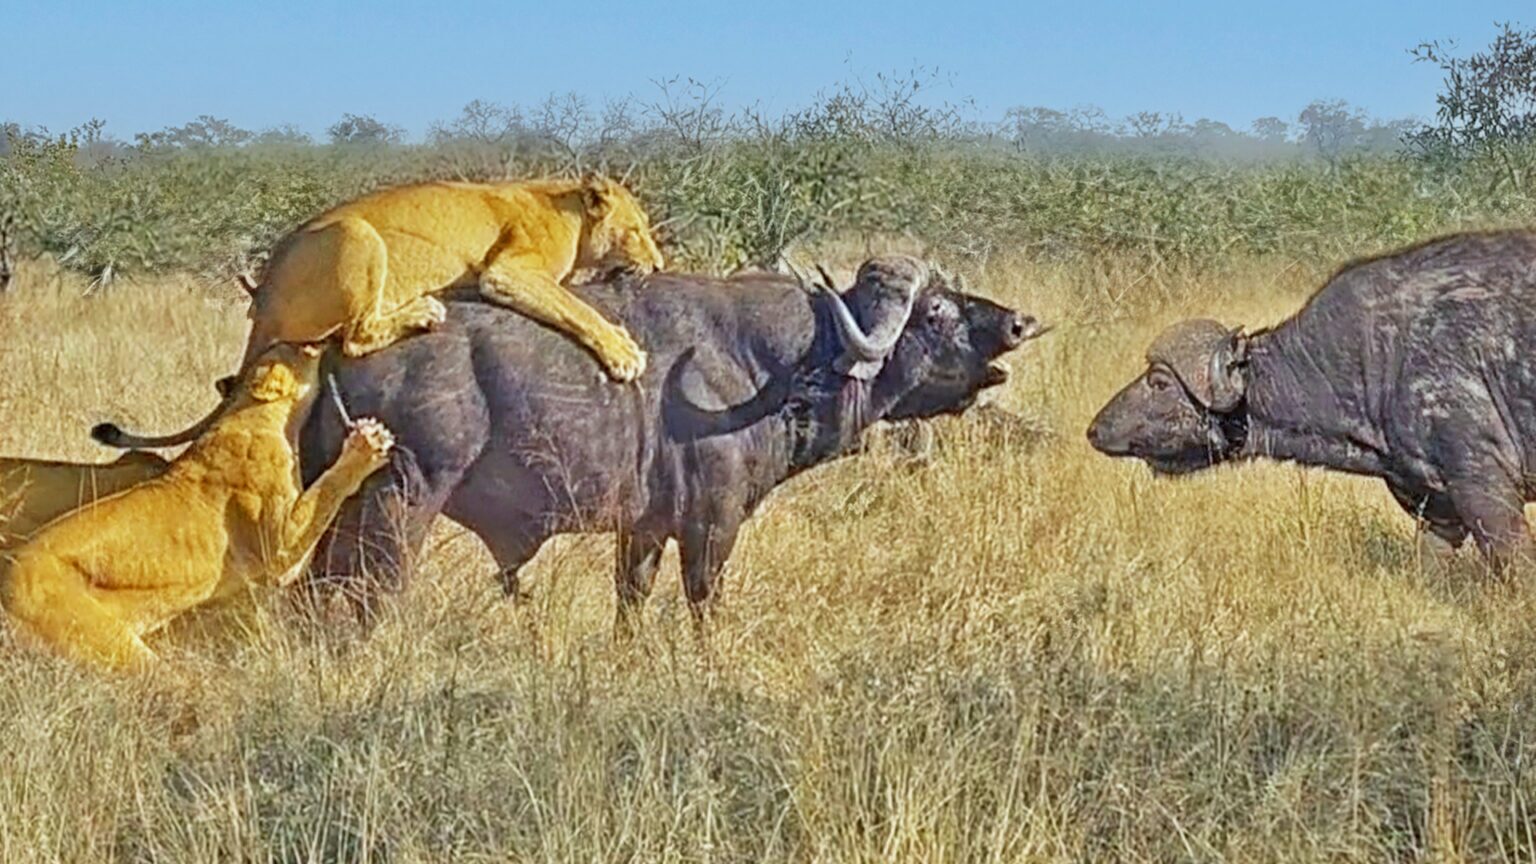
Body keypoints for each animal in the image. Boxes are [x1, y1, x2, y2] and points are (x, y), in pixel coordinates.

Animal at [299, 253, 1044, 618]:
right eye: (936, 309)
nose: (1018, 323)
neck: (771, 365)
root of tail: (341, 346)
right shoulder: (711, 528)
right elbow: (703, 607)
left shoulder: (644, 532)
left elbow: (631, 607)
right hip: (397, 510)